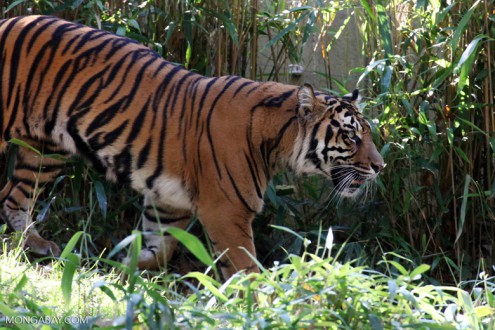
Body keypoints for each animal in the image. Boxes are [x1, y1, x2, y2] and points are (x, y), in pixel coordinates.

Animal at [0, 14, 386, 278]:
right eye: (351, 136)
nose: (380, 167)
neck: (276, 142)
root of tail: (13, 18)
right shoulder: (227, 211)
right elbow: (247, 267)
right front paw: (261, 303)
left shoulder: (169, 203)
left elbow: (158, 249)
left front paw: (121, 267)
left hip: (45, 151)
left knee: (13, 198)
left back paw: (34, 248)